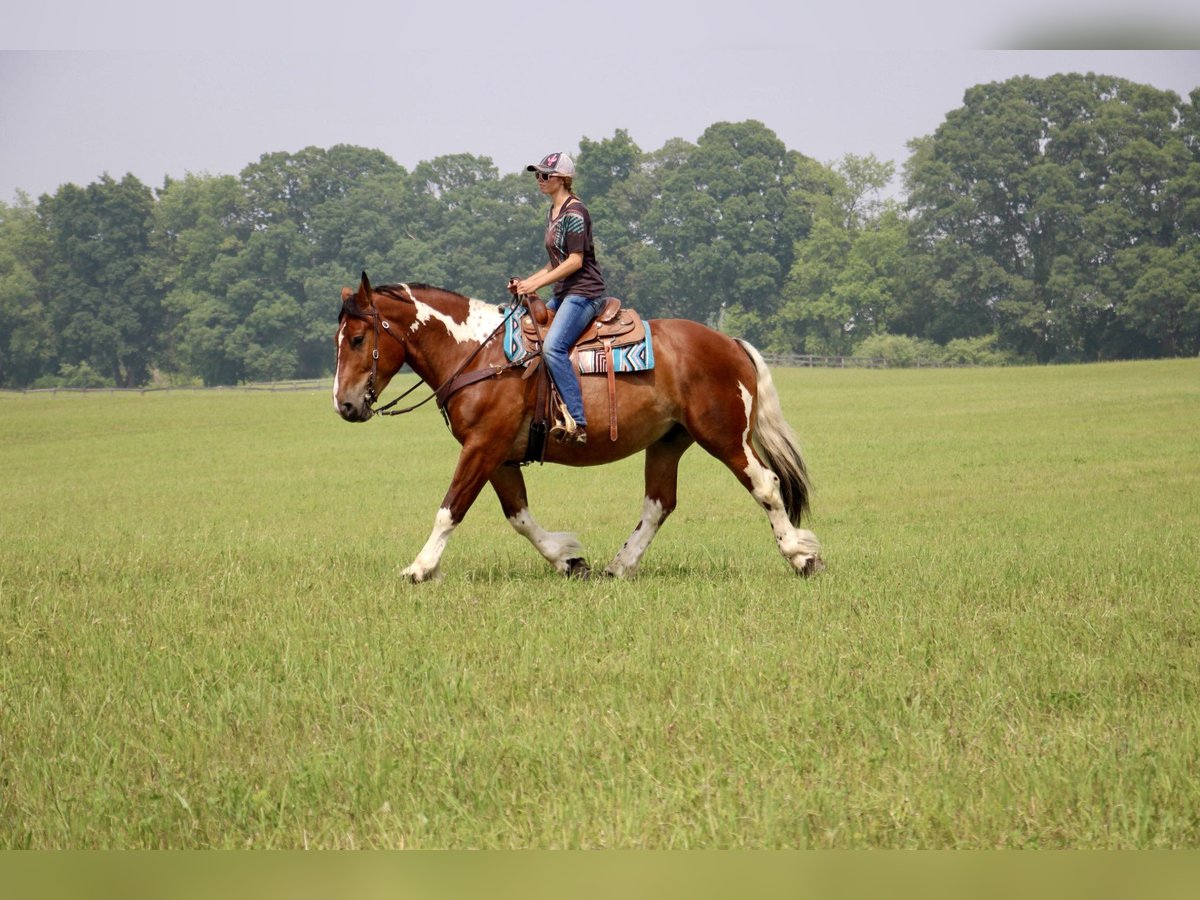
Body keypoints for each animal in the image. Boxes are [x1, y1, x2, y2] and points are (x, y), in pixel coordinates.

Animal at [338, 273, 825, 585]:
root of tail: (730, 343)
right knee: (658, 504)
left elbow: (449, 509)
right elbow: (519, 516)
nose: (344, 405)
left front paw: (419, 568)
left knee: (765, 485)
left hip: (725, 437)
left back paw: (801, 556)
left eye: (359, 339)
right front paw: (569, 561)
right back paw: (619, 566)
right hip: (668, 442)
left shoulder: (481, 448)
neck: (480, 355)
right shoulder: (498, 456)